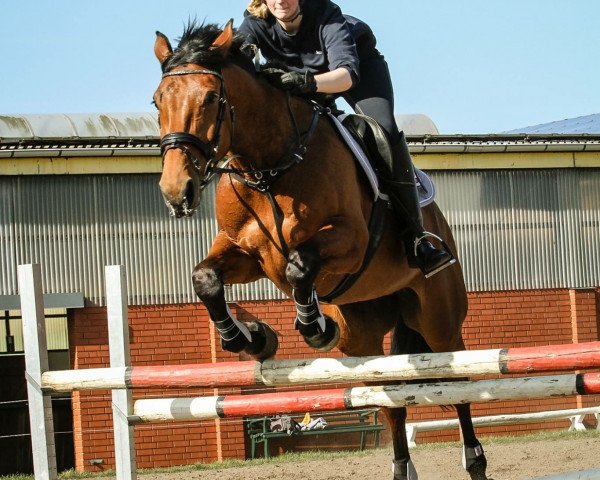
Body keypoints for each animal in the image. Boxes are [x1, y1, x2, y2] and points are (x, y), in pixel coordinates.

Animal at [152, 19, 490, 480]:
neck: (269, 167)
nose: (176, 193)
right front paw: (251, 338)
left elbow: (299, 267)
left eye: (209, 98)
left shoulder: (350, 241)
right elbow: (205, 278)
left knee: (457, 386)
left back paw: (475, 461)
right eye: (157, 101)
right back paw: (401, 468)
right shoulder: (245, 253)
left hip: (439, 320)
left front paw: (314, 328)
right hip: (363, 338)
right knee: (390, 402)